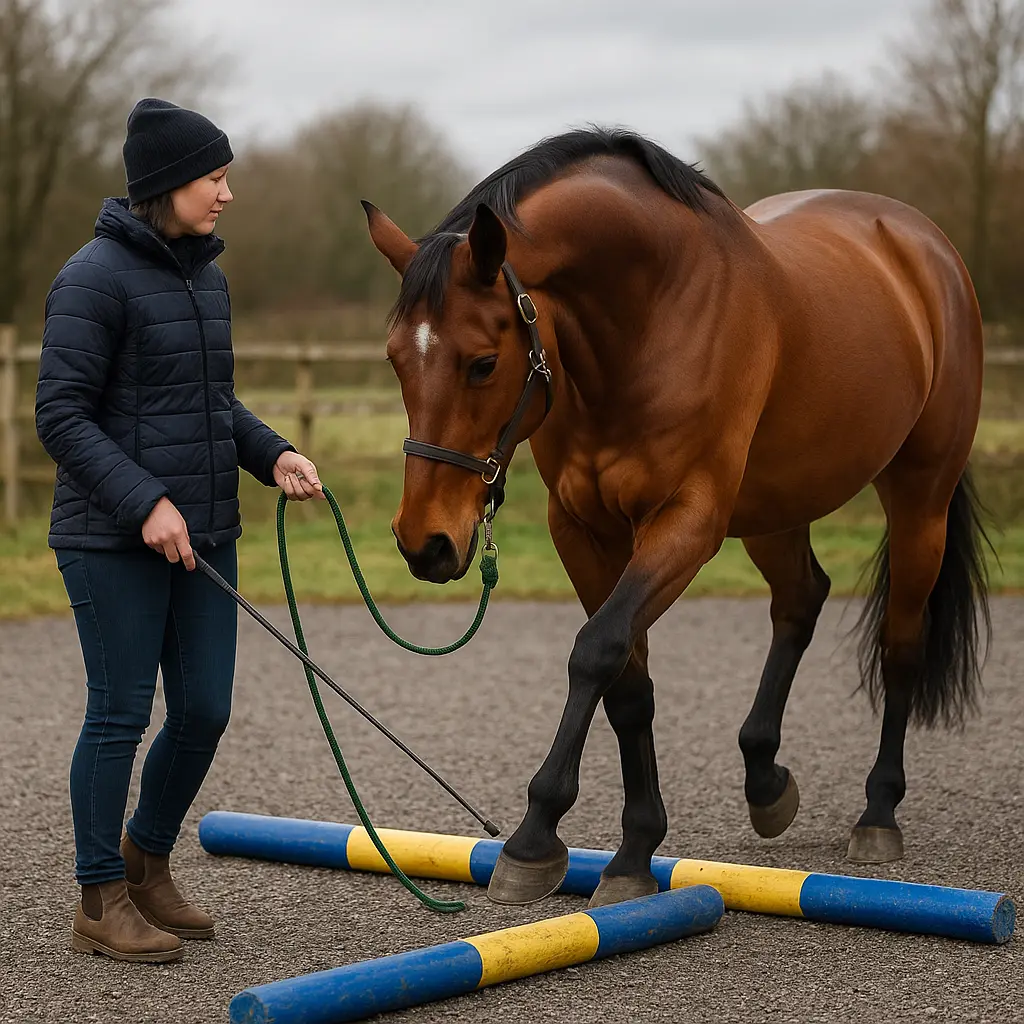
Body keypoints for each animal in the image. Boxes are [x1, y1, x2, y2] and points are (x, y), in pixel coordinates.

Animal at [361, 126, 991, 909]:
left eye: (482, 362)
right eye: (395, 359)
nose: (426, 543)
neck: (651, 316)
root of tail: (924, 246)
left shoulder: (686, 521)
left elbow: (595, 650)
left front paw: (535, 837)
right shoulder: (584, 530)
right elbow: (627, 681)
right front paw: (633, 851)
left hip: (919, 498)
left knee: (901, 640)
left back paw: (878, 812)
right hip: (775, 508)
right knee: (800, 599)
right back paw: (765, 779)